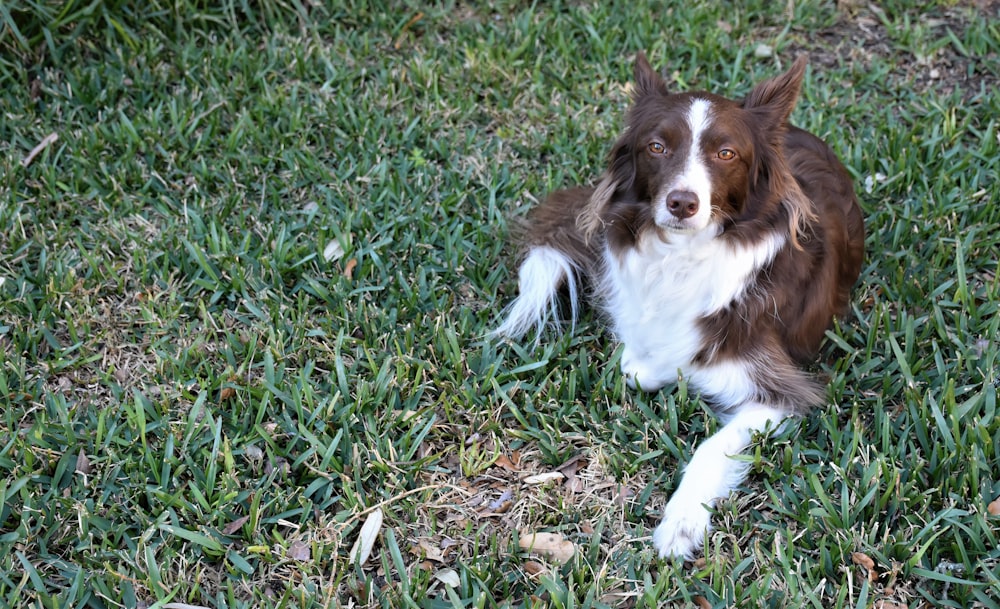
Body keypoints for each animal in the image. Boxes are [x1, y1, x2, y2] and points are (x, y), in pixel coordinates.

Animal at [494, 54, 868, 560]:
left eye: (726, 153)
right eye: (657, 147)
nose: (682, 203)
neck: (681, 256)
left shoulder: (780, 392)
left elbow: (712, 444)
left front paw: (682, 523)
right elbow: (640, 362)